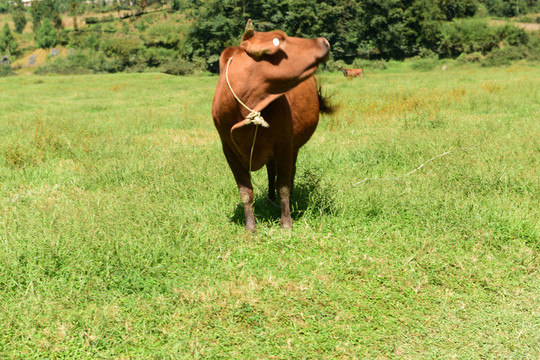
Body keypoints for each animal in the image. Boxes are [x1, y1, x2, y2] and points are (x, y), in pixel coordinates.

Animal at [210, 19, 330, 232]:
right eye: (280, 39)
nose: (324, 41)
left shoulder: (284, 144)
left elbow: (283, 185)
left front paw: (286, 224)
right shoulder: (229, 150)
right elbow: (245, 191)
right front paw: (250, 228)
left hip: (293, 146)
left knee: (289, 173)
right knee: (270, 171)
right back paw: (270, 199)